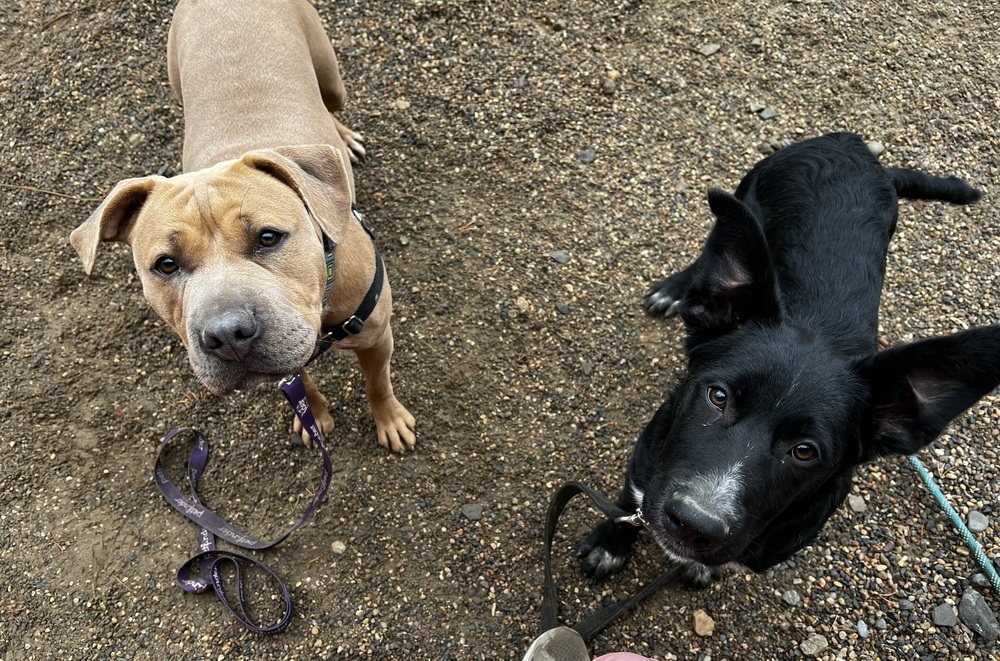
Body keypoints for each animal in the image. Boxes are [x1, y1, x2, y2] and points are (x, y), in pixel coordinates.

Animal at [69, 0, 414, 454]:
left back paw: (343, 139)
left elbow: (378, 383)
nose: (227, 335)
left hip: (329, 74)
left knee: (331, 106)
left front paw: (389, 419)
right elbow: (301, 380)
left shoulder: (377, 337)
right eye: (165, 264)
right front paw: (313, 416)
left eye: (268, 237)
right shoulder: (288, 356)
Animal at [580, 133, 1000, 584]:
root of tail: (852, 145)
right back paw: (675, 289)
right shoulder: (645, 460)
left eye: (804, 451)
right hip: (746, 194)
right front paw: (610, 543)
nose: (695, 524)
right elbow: (628, 505)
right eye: (718, 396)